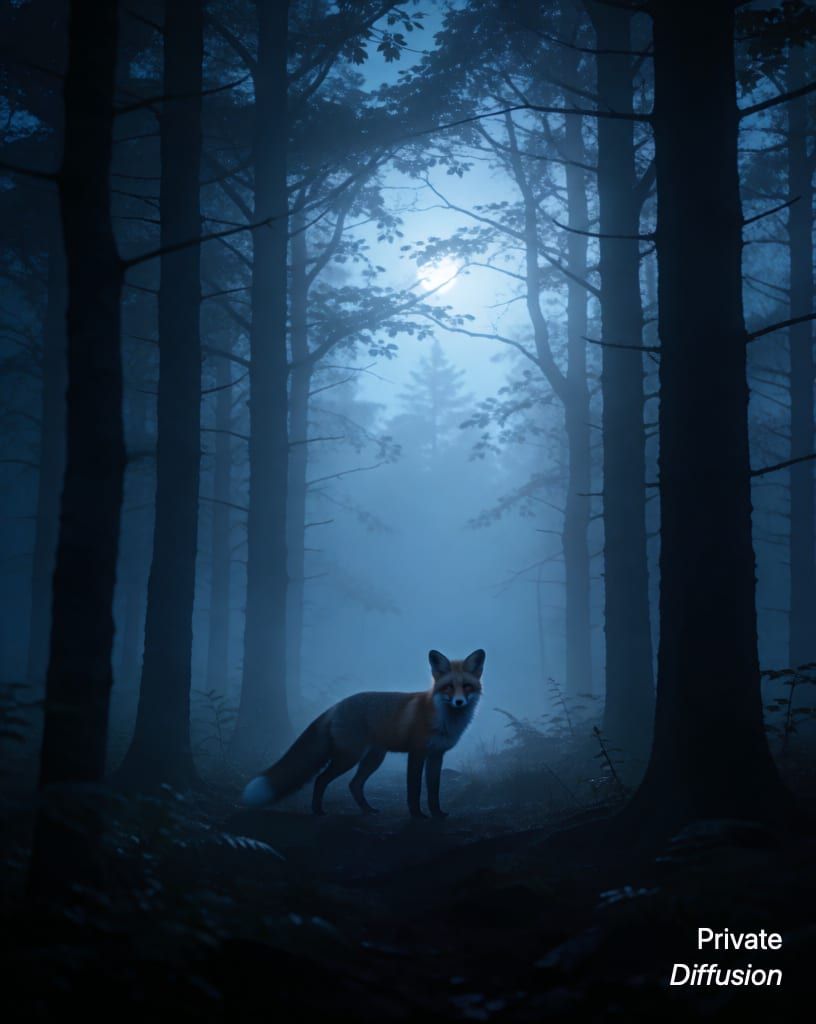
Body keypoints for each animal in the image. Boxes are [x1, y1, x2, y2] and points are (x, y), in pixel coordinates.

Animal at [241, 648, 485, 818]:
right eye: (448, 687)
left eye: (467, 686)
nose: (459, 702)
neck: (443, 720)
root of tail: (336, 706)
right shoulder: (416, 753)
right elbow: (414, 790)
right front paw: (417, 815)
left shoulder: (436, 756)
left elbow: (434, 792)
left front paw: (437, 814)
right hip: (349, 757)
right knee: (321, 779)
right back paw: (318, 811)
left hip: (373, 758)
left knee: (354, 785)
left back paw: (367, 810)